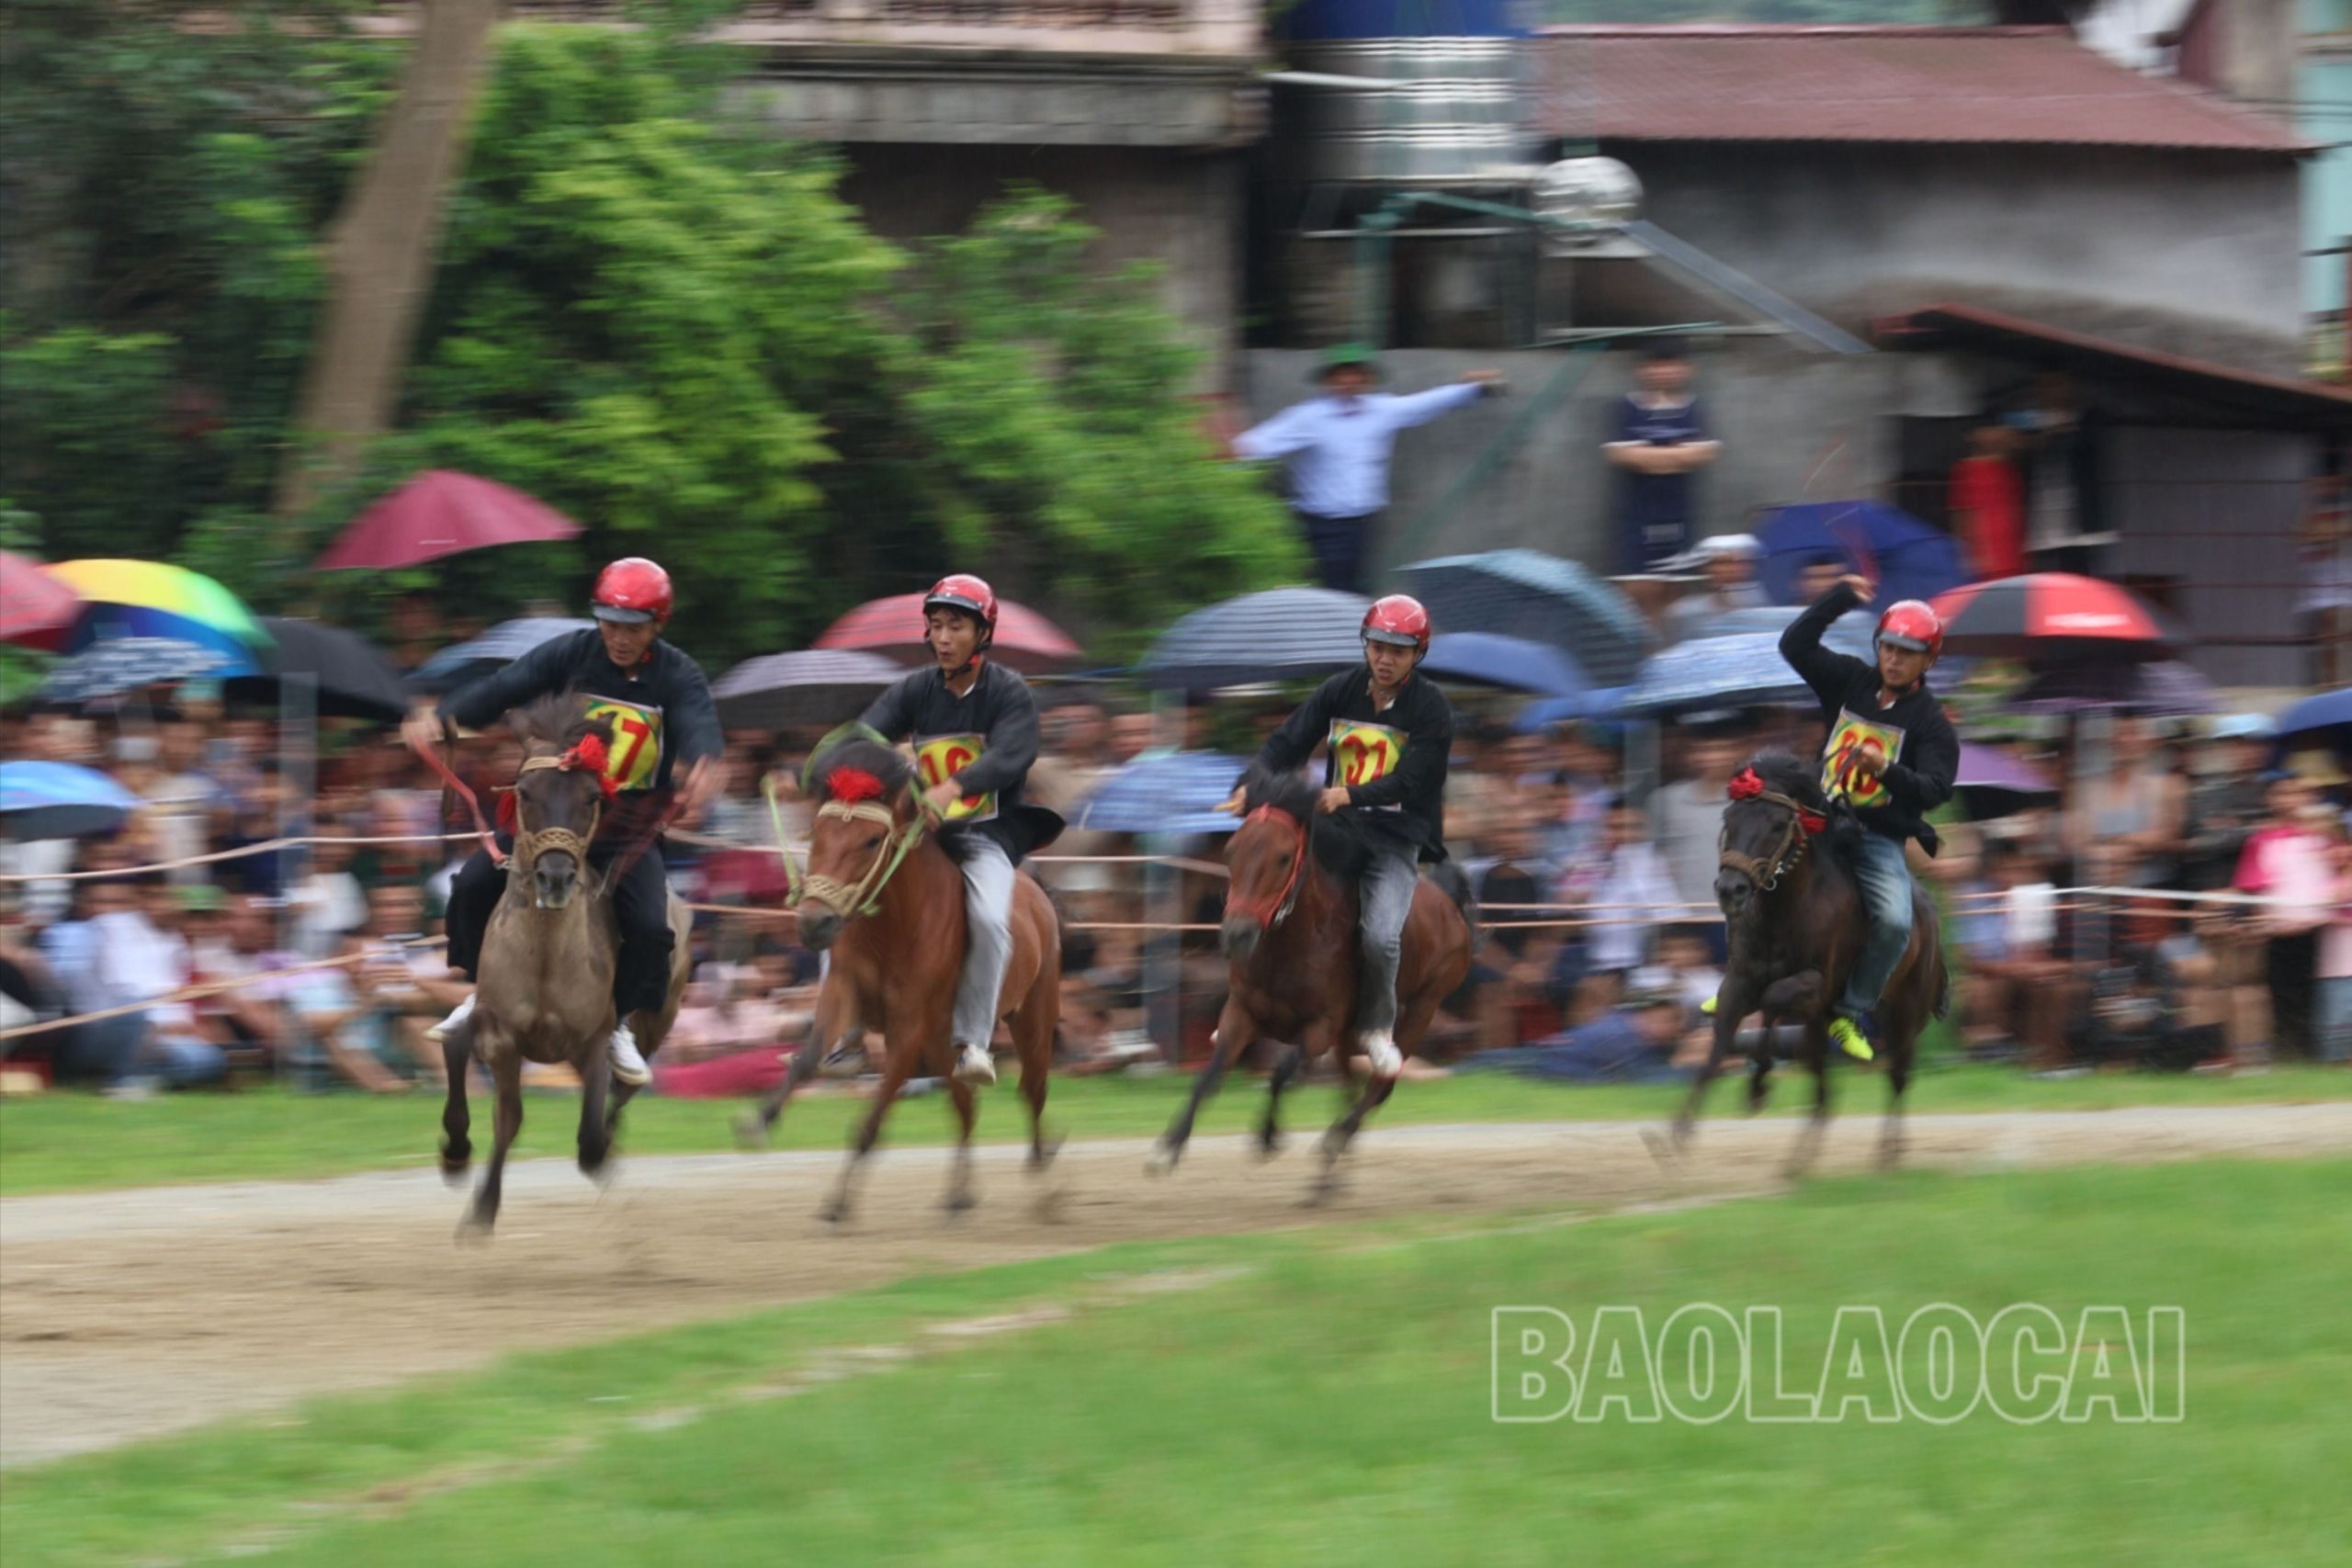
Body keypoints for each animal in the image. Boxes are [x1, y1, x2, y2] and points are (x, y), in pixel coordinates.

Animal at [437, 700, 686, 1241]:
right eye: (525, 793)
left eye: (592, 796)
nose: (555, 877)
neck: (547, 962)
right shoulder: (503, 1036)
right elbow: (506, 1115)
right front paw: (474, 1191)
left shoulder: (590, 1042)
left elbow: (590, 1138)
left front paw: (604, 1153)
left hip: (656, 1019)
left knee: (624, 1090)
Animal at [748, 738, 1063, 1222]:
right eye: (816, 834)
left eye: (871, 839)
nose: (815, 923)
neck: (895, 926)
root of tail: (1038, 898)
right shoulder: (843, 991)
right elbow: (807, 1057)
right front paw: (763, 1119)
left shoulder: (909, 1024)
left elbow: (873, 1117)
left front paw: (838, 1202)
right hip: (943, 1041)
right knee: (966, 1105)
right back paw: (959, 1194)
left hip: (1032, 1020)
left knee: (1032, 1092)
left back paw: (1045, 1188)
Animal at [1143, 761, 1458, 1203]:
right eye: (1231, 851)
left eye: (1283, 857)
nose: (1237, 935)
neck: (1295, 943)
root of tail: (1454, 907)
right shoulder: (1241, 1014)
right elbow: (1211, 1076)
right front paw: (1168, 1147)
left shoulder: (1321, 1027)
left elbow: (1281, 1073)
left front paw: (1268, 1136)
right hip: (1349, 1038)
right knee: (1350, 1087)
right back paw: (1329, 1176)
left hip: (1420, 1011)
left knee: (1378, 1087)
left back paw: (1334, 1142)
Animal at [1665, 751, 1956, 1175]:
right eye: (1729, 819)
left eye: (1777, 824)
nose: (1731, 889)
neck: (1784, 912)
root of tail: (1931, 915)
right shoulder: (1738, 982)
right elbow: (1719, 1045)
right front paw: (1676, 1134)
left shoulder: (1814, 986)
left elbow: (1772, 1000)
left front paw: (1758, 1086)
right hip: (1831, 1024)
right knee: (1824, 1092)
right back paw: (1800, 1159)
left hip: (1904, 1013)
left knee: (1898, 1076)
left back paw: (1888, 1153)